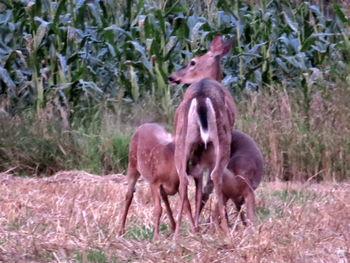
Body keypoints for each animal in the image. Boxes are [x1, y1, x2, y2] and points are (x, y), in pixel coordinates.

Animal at [169, 35, 237, 237]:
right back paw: (224, 227)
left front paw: (196, 225)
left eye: (192, 62)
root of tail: (200, 97)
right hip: (222, 140)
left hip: (182, 138)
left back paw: (179, 232)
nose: (172, 77)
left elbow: (198, 184)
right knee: (215, 176)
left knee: (183, 178)